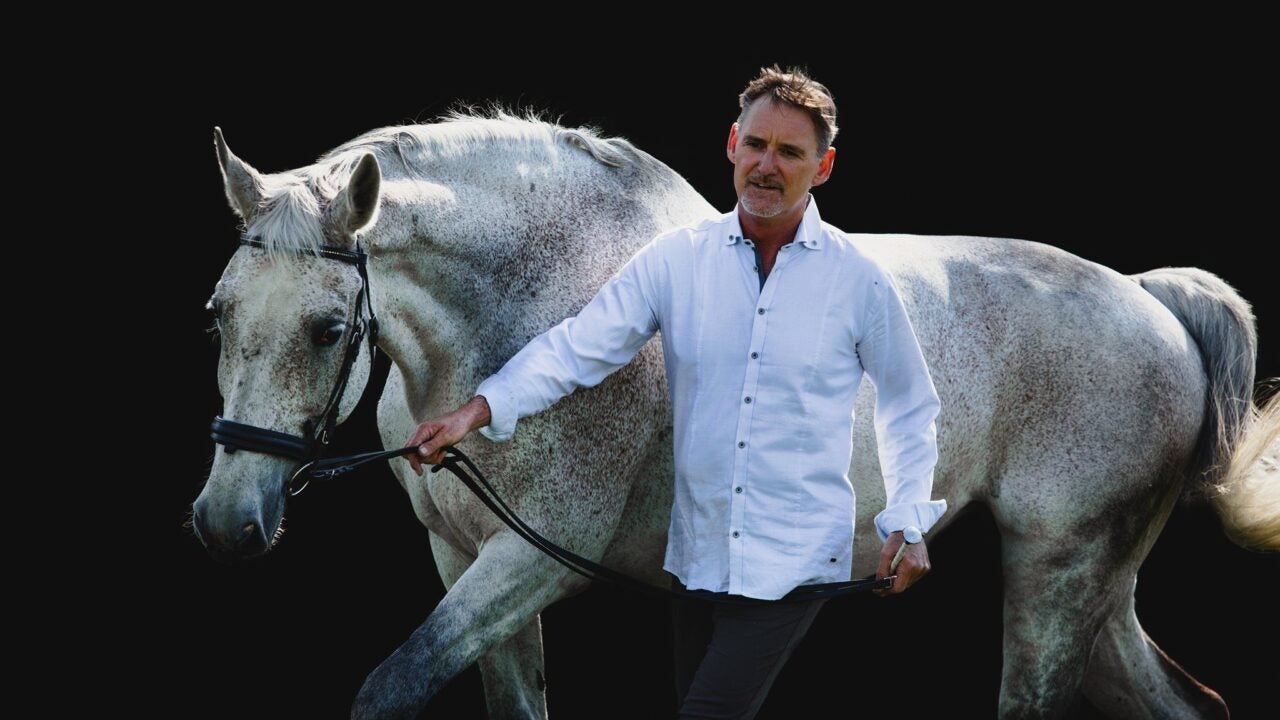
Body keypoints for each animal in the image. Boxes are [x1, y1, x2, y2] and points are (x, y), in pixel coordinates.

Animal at [191, 110, 1279, 719]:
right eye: (217, 313)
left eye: (330, 327)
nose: (225, 523)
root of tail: (1151, 300)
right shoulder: (459, 558)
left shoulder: (531, 562)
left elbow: (390, 686)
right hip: (1093, 586)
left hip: (1056, 575)